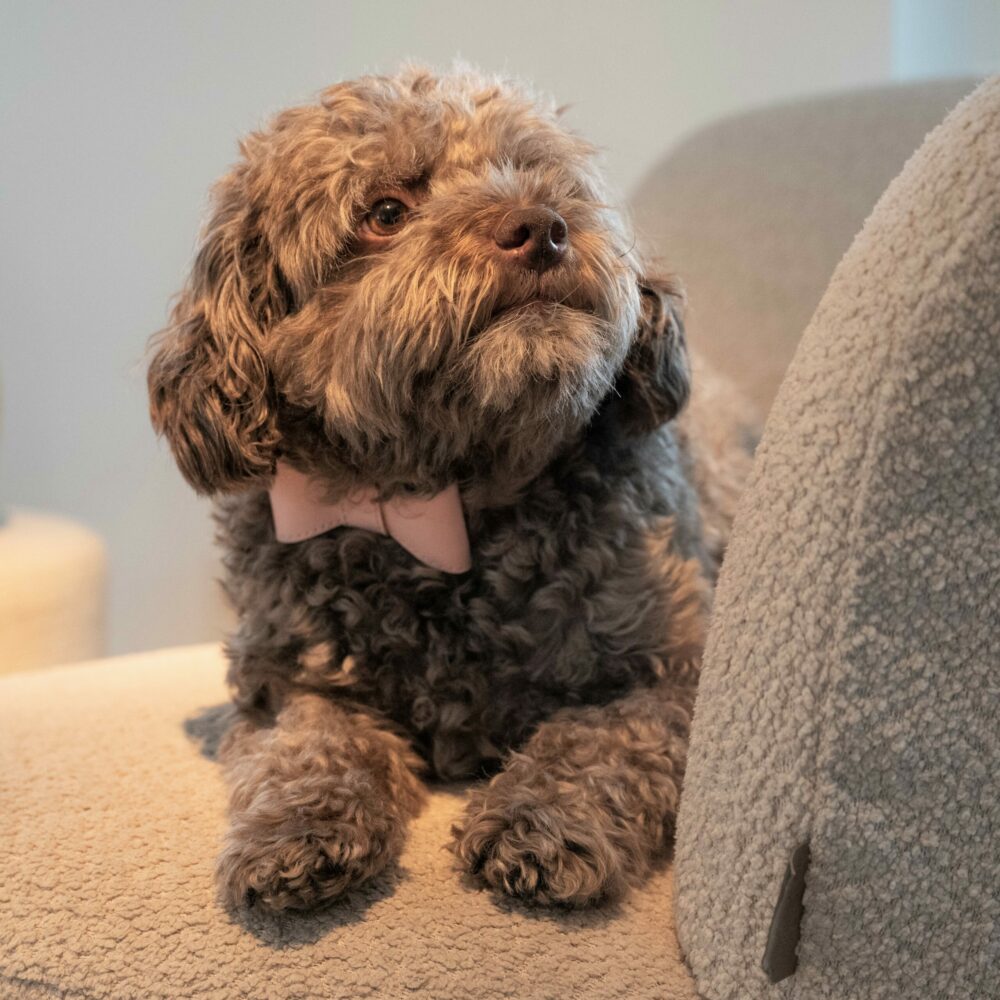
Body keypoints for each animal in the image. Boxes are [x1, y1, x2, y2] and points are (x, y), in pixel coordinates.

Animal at [148, 64, 752, 916]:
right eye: (384, 213)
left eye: (537, 175)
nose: (542, 226)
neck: (440, 502)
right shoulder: (285, 680)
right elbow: (309, 743)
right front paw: (293, 830)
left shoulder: (679, 672)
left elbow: (600, 738)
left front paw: (543, 819)